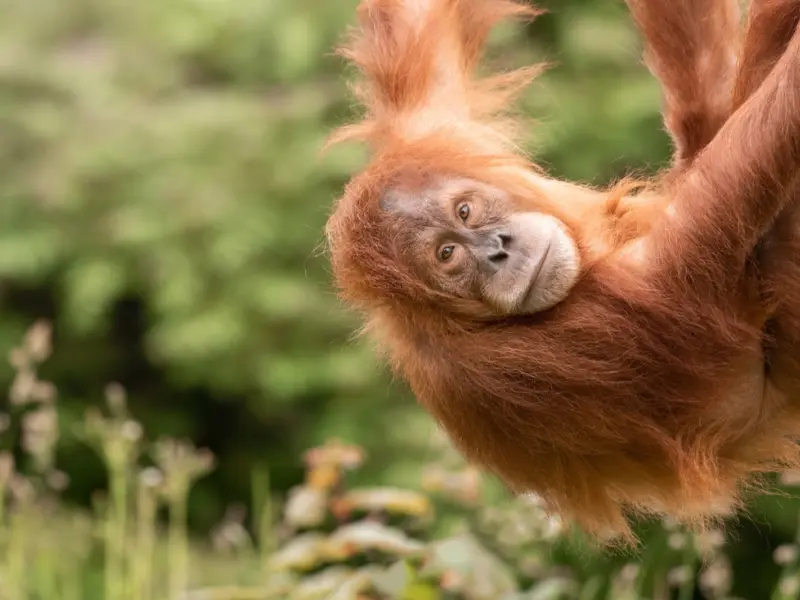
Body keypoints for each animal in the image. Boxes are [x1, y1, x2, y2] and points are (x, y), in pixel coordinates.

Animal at [325, 0, 800, 541]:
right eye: (447, 255)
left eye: (465, 211)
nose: (497, 249)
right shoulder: (492, 370)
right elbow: (690, 259)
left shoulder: (427, 132)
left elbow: (416, 21)